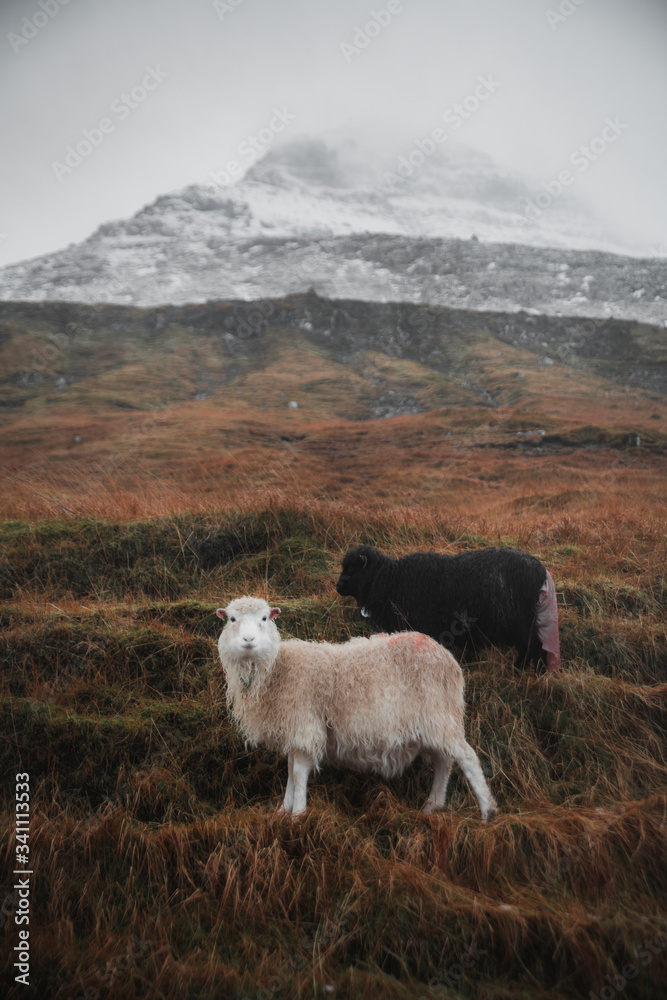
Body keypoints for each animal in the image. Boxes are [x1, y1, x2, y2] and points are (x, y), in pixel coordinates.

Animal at [217, 592, 498, 820]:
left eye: (265, 618)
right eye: (231, 619)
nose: (248, 639)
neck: (277, 669)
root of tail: (447, 657)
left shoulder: (306, 724)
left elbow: (298, 773)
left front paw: (297, 815)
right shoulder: (294, 730)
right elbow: (289, 773)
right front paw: (282, 811)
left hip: (438, 713)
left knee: (467, 757)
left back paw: (488, 812)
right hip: (431, 722)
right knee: (444, 760)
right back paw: (433, 806)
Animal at [336, 544, 560, 668]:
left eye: (351, 568)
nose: (338, 587)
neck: (389, 579)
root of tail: (540, 571)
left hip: (520, 623)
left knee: (531, 647)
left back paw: (521, 671)